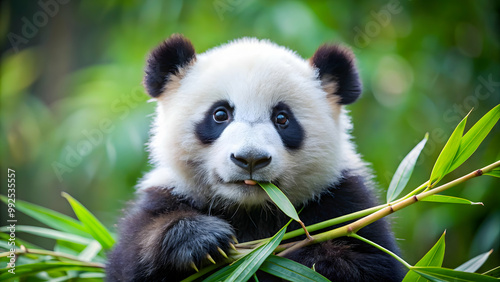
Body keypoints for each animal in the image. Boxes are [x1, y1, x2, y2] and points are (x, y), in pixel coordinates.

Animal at [106, 34, 406, 280]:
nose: (250, 159)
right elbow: (130, 258)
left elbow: (369, 264)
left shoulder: (344, 200)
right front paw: (201, 239)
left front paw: (288, 253)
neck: (252, 210)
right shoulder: (167, 194)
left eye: (282, 118)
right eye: (220, 114)